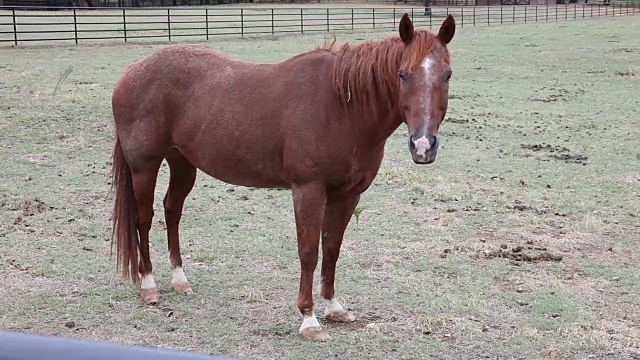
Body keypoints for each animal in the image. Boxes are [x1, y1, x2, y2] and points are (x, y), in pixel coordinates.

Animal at [112, 13, 458, 340]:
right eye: (403, 74)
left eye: (448, 74)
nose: (423, 145)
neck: (341, 107)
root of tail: (131, 72)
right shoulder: (308, 190)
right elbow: (309, 252)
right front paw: (309, 319)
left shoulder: (348, 195)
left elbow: (332, 248)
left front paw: (333, 307)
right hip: (144, 166)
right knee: (144, 219)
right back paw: (149, 286)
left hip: (182, 163)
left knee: (172, 211)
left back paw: (180, 280)